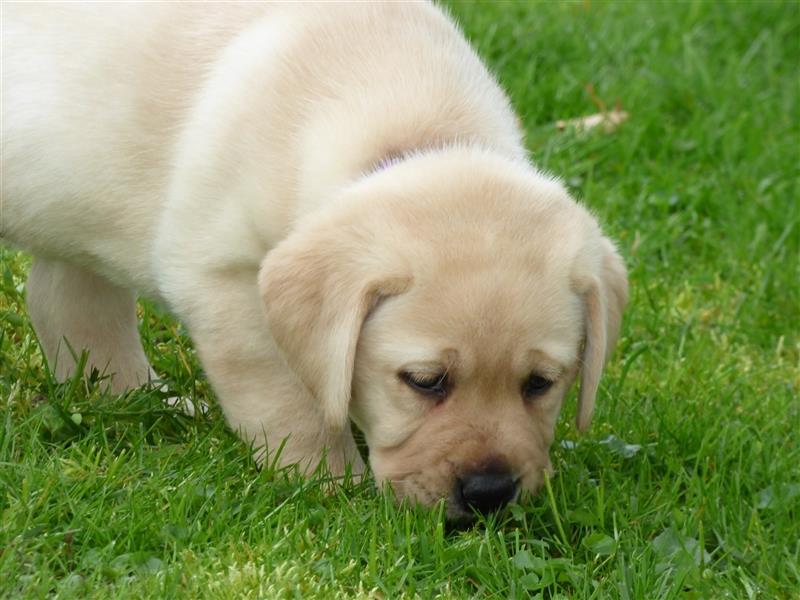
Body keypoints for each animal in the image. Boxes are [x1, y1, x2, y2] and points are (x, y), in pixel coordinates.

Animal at [1, 3, 624, 520]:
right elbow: (288, 400)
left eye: (540, 384)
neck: (413, 131)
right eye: (425, 382)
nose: (490, 494)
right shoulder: (223, 276)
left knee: (68, 304)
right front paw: (331, 486)